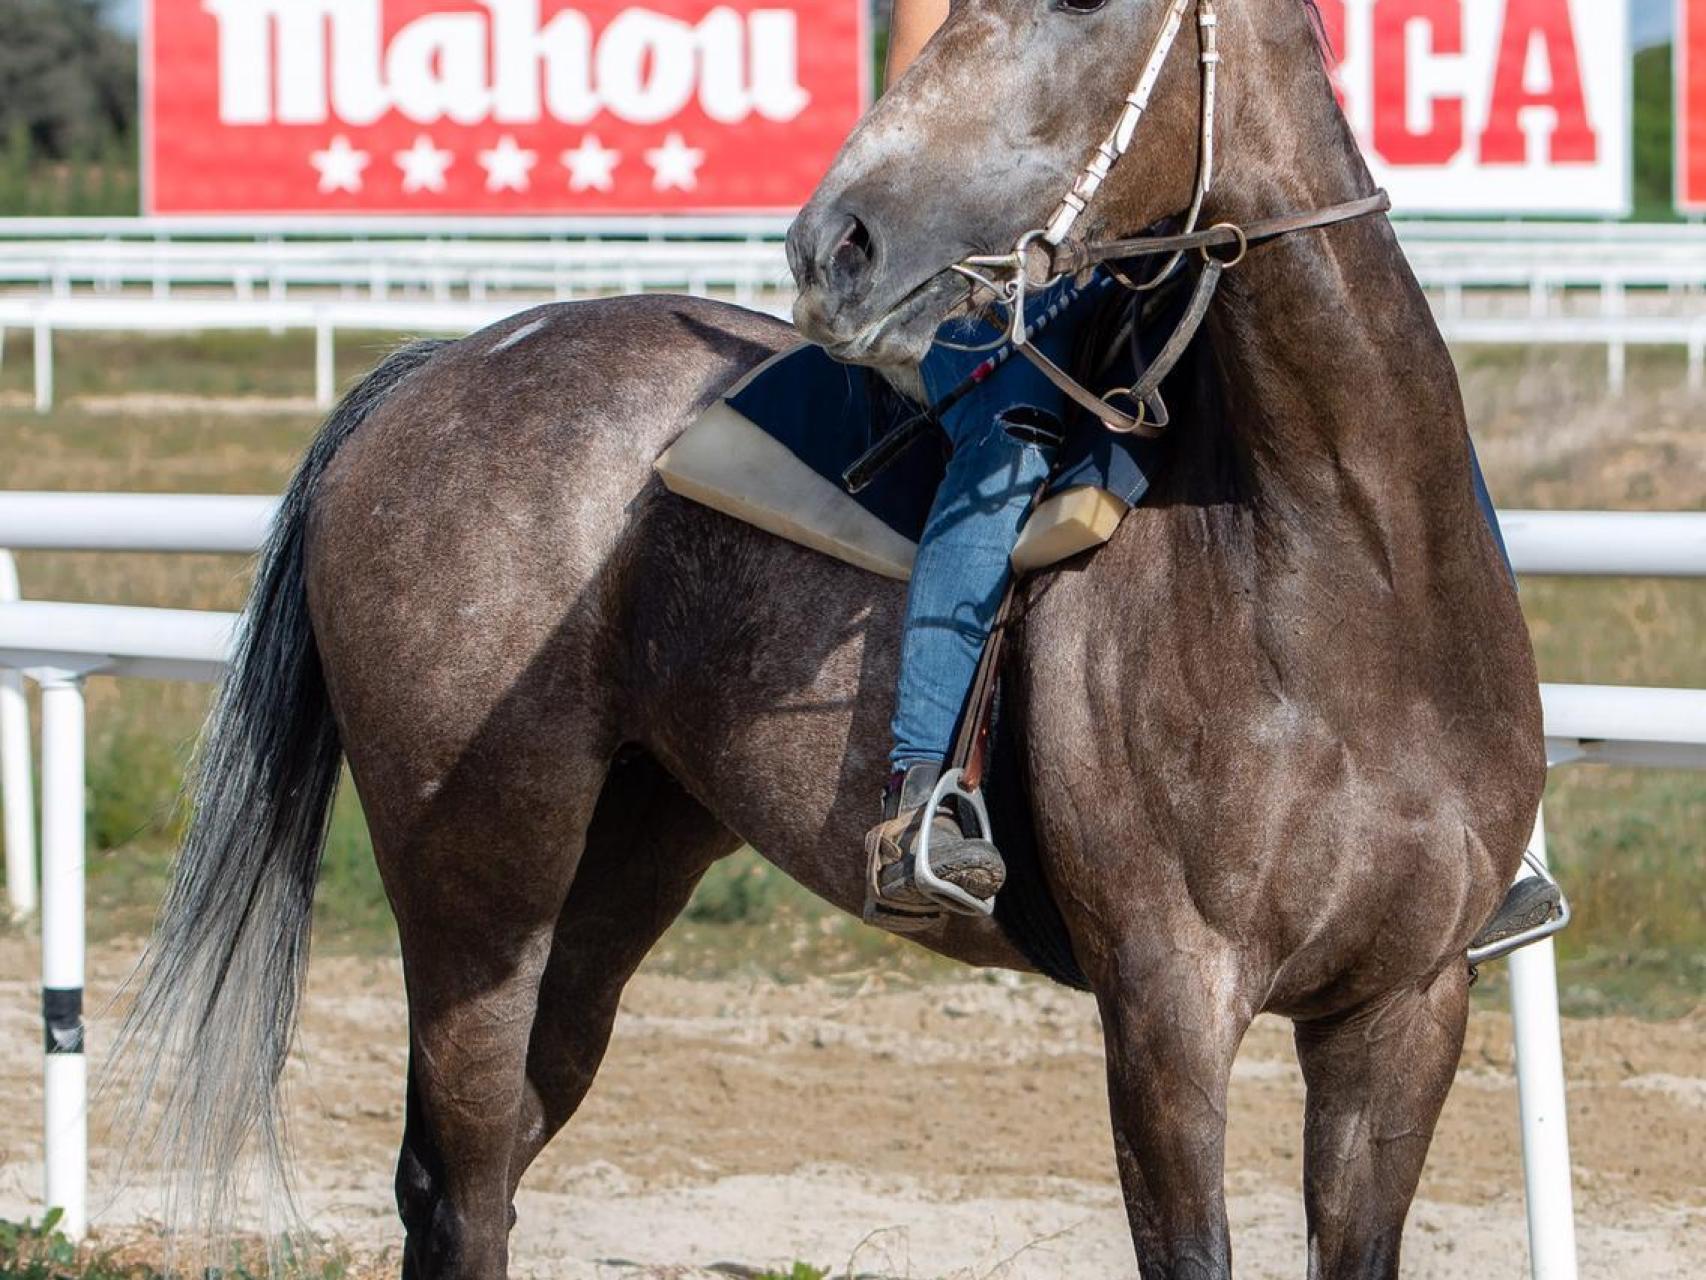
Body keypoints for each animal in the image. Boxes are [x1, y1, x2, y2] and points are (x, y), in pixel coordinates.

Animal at [113, 0, 1542, 1276]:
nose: (828, 244)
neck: (1336, 576)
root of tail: (445, 362)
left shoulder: (1404, 1008)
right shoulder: (1165, 1006)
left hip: (620, 867)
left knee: (490, 1164)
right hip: (477, 893)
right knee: (457, 1185)